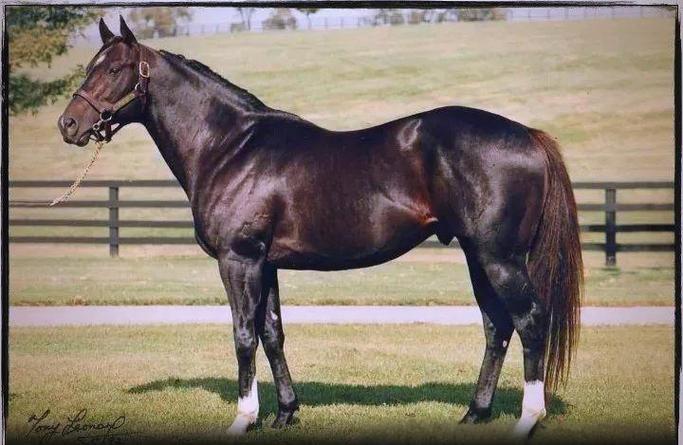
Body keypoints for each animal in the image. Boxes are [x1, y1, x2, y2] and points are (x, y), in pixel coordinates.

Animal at [58, 17, 583, 439]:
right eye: (89, 67)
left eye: (113, 70)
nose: (69, 124)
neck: (230, 146)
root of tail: (529, 135)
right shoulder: (265, 263)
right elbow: (272, 333)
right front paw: (285, 413)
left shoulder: (238, 259)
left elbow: (243, 334)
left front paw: (243, 418)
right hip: (478, 255)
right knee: (497, 326)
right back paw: (475, 413)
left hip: (500, 258)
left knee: (530, 320)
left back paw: (527, 419)